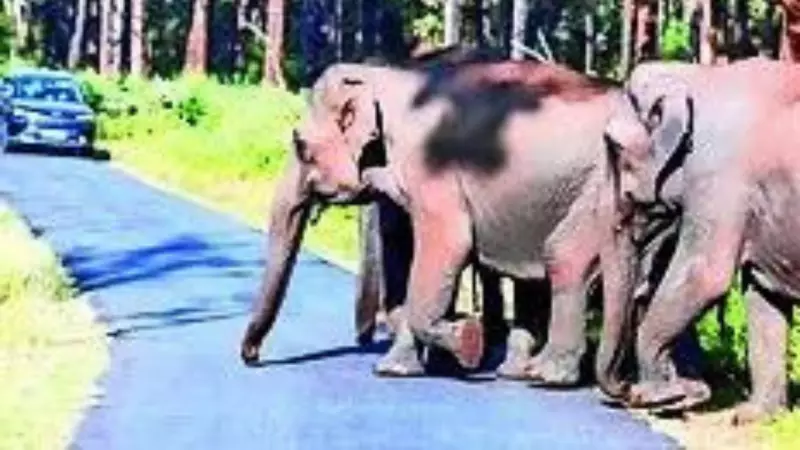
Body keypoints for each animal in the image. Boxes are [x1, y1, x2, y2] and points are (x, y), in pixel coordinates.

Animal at [241, 57, 647, 391]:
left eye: (301, 146)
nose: (253, 357)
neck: (382, 76)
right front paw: (393, 369)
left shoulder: (431, 167)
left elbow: (448, 244)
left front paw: (468, 340)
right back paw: (516, 372)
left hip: (598, 196)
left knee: (566, 261)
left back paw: (547, 377)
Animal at [602, 57, 800, 423]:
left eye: (616, 148)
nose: (624, 390)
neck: (696, 77)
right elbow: (762, 295)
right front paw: (751, 417)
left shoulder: (720, 177)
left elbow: (706, 276)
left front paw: (661, 397)